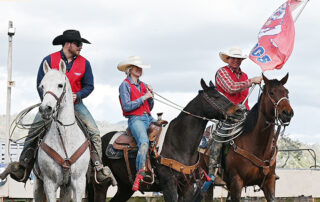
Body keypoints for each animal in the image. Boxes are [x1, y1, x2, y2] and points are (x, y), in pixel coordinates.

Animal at [86, 79, 244, 202]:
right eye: (215, 96)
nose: (239, 111)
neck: (180, 141)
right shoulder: (169, 184)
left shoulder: (187, 187)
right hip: (100, 185)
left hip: (125, 187)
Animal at [200, 74, 296, 202]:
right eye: (271, 92)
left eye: (286, 92)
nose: (287, 113)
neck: (258, 148)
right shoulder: (237, 182)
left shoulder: (269, 182)